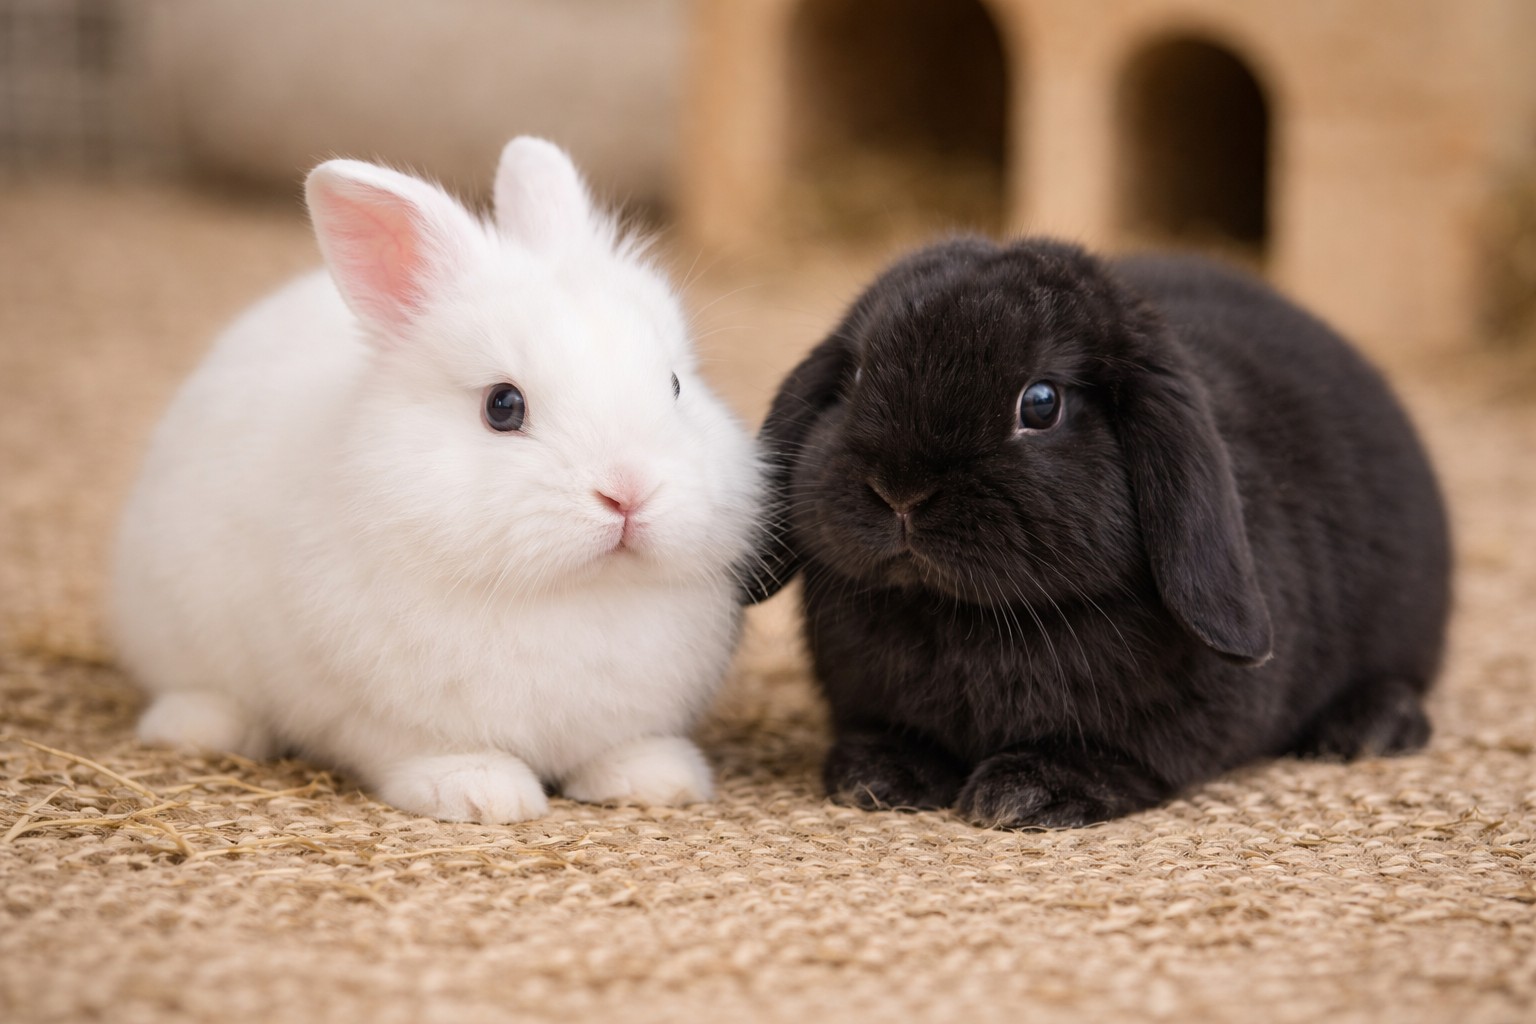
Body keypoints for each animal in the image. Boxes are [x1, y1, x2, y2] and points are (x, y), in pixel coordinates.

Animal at [111, 138, 762, 824]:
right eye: (503, 406)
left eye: (675, 385)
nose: (629, 492)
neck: (574, 593)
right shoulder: (377, 714)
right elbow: (425, 750)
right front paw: (481, 793)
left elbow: (621, 747)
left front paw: (656, 780)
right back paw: (198, 727)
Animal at [744, 237, 1450, 829]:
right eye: (858, 375)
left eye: (1041, 403)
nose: (900, 492)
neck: (962, 615)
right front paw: (879, 777)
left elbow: (1125, 758)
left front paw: (1030, 794)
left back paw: (1365, 731)